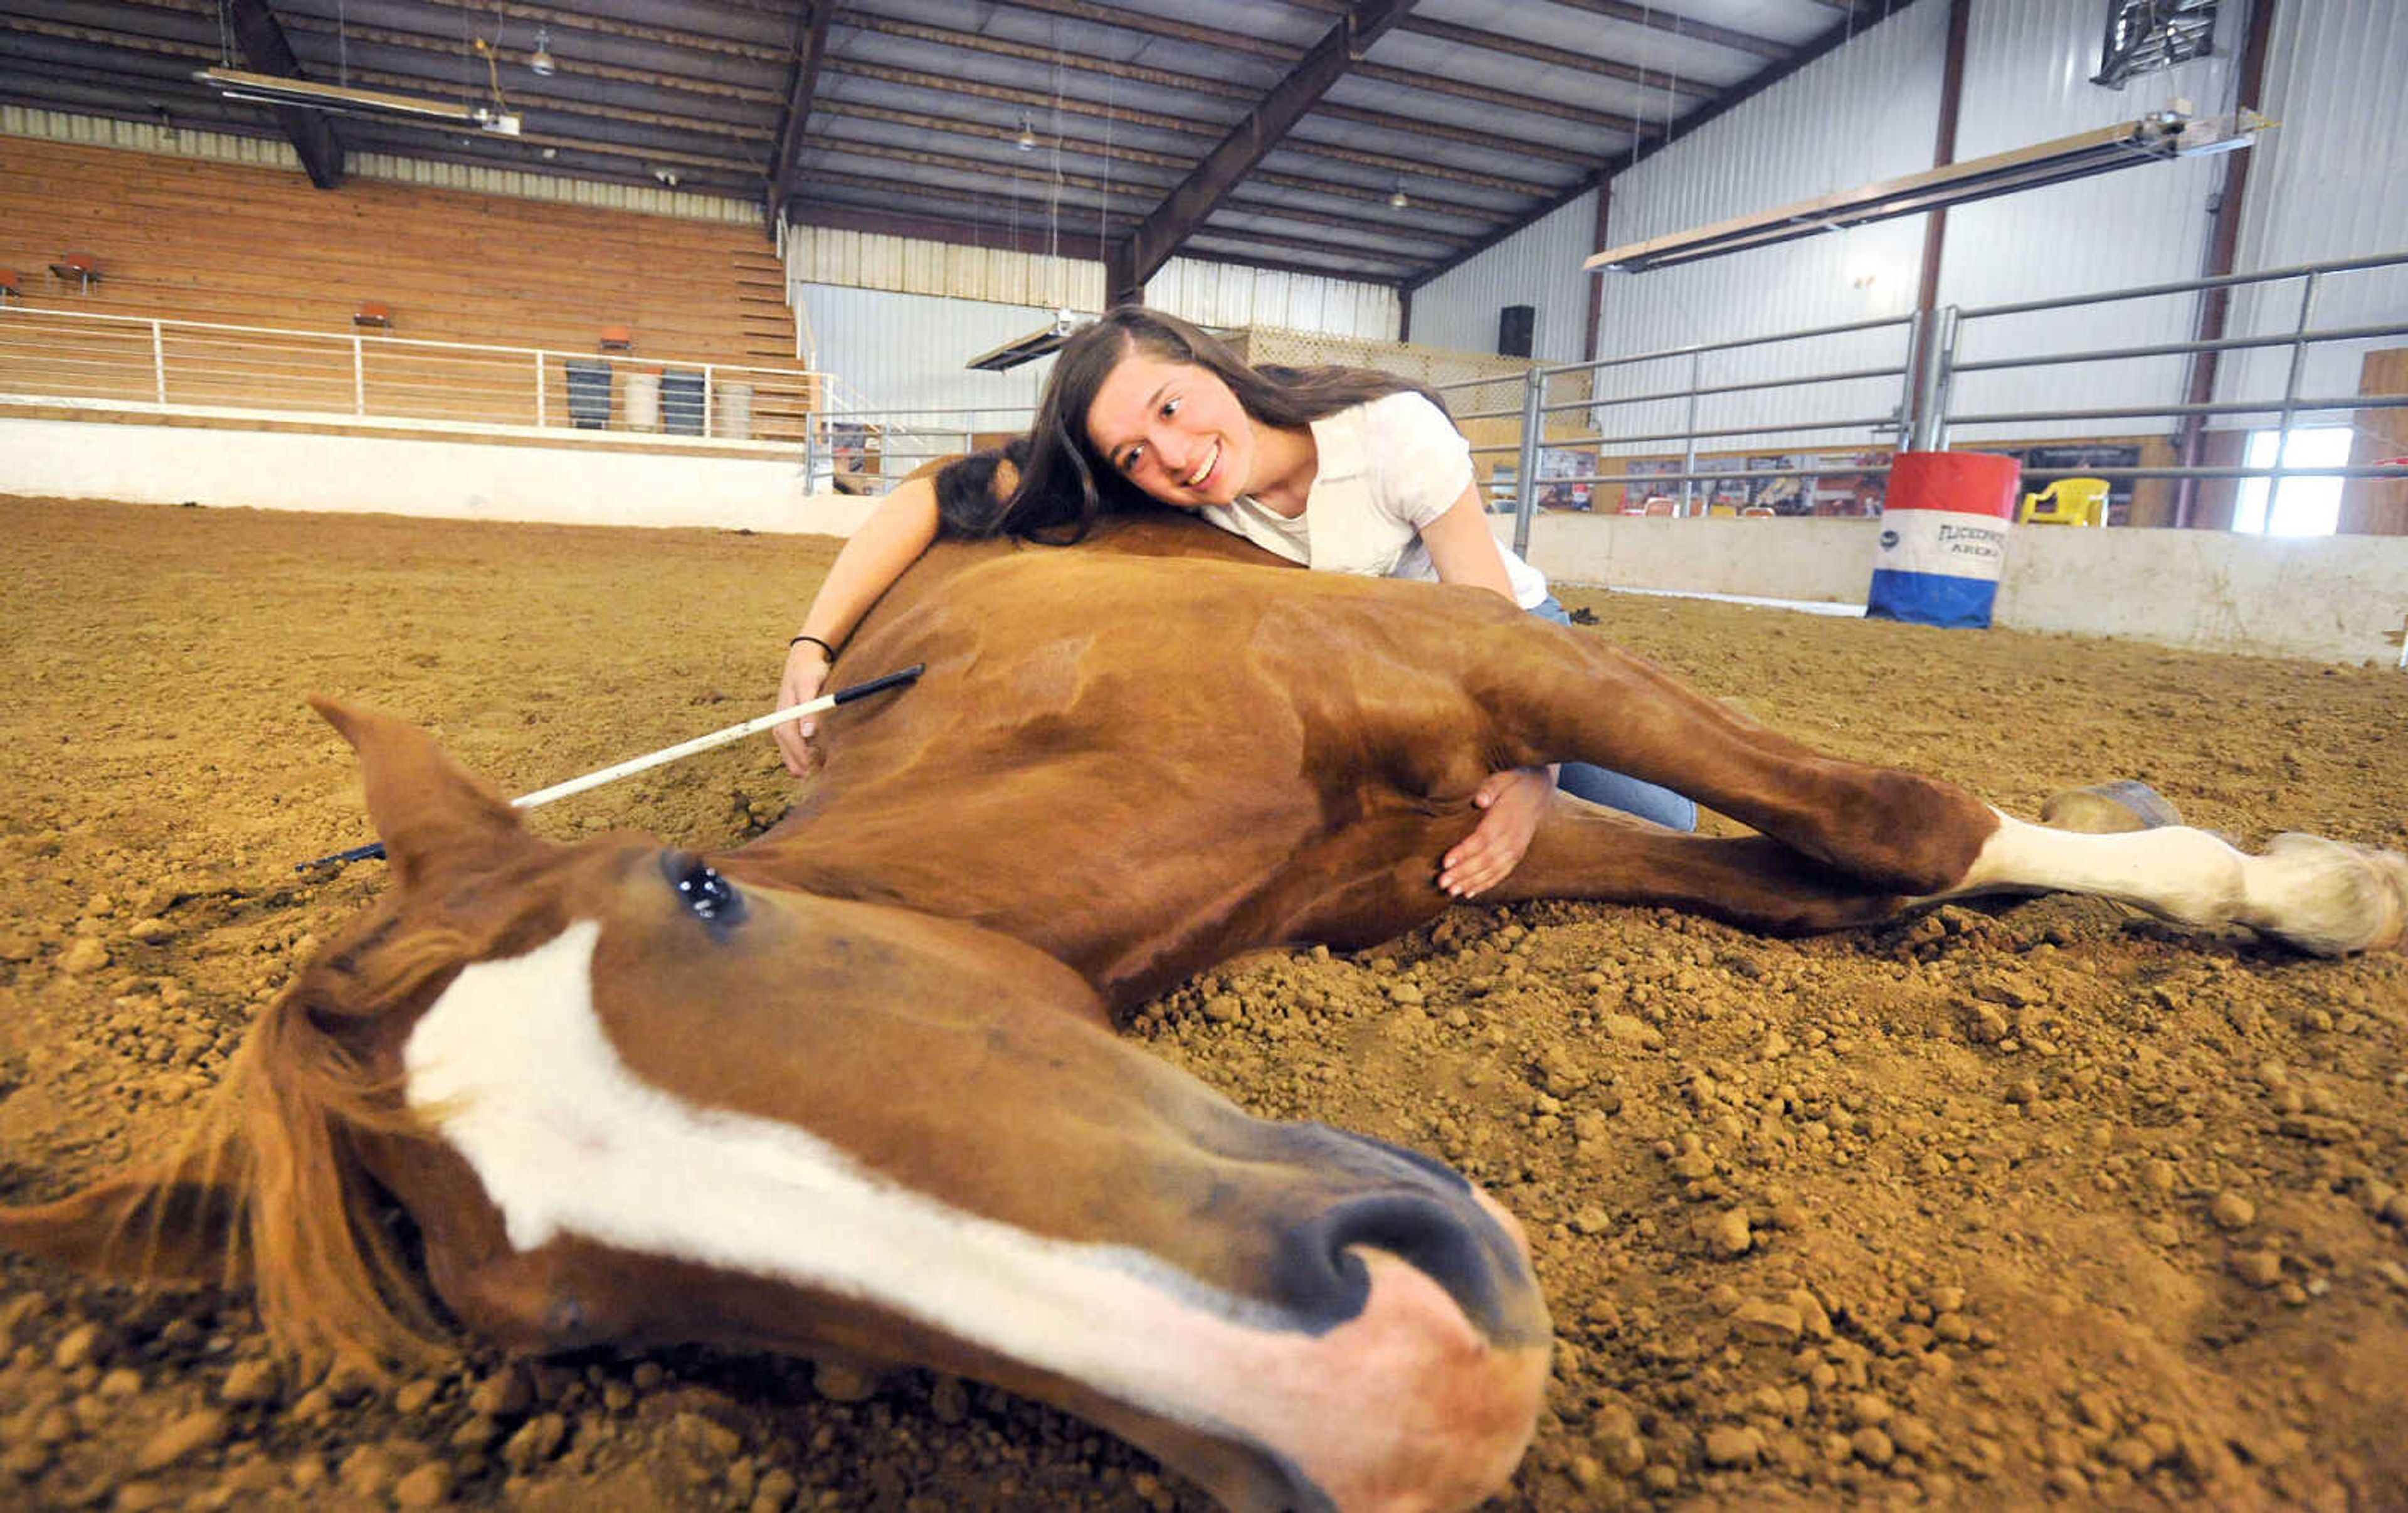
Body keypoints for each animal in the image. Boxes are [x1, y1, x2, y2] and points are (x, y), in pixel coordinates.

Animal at [0, 453, 2398, 1513]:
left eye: (706, 894)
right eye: (585, 1327)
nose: (1410, 1388)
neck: (1113, 718)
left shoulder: (1505, 683)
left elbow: (1885, 820)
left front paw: (2291, 886)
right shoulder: (1451, 863)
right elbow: (1820, 882)